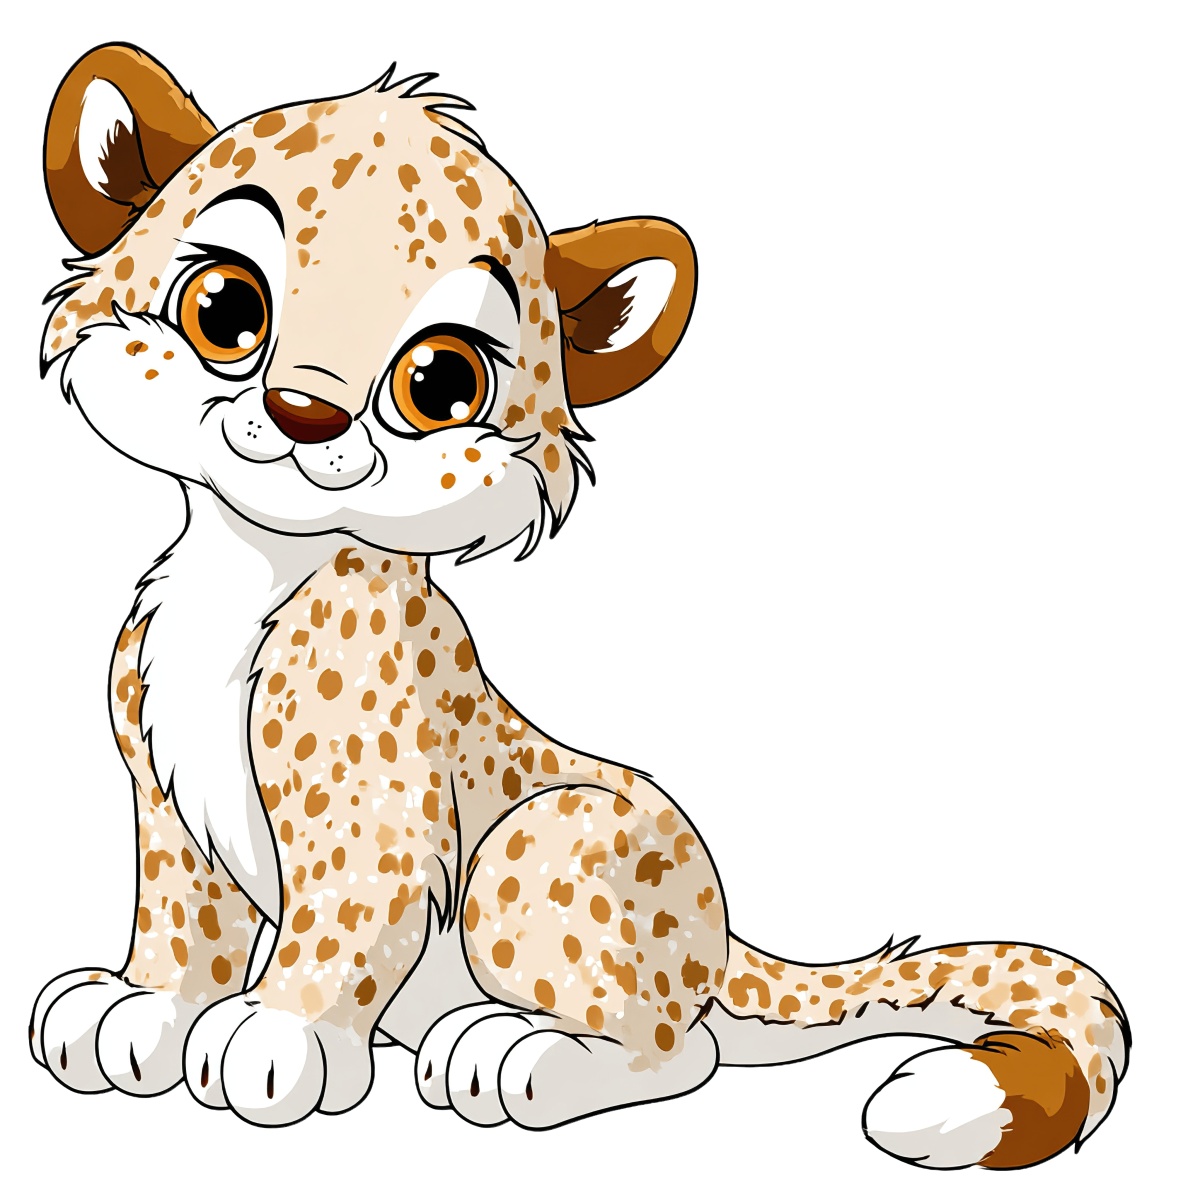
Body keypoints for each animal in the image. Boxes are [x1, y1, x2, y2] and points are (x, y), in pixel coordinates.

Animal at [31, 43, 1129, 1169]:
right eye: (225, 309)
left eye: (440, 381)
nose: (305, 412)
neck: (248, 566)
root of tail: (721, 938)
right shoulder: (166, 802)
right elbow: (182, 923)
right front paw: (143, 1012)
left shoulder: (379, 823)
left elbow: (336, 926)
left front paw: (275, 1038)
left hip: (537, 841)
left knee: (679, 1052)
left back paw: (506, 1053)